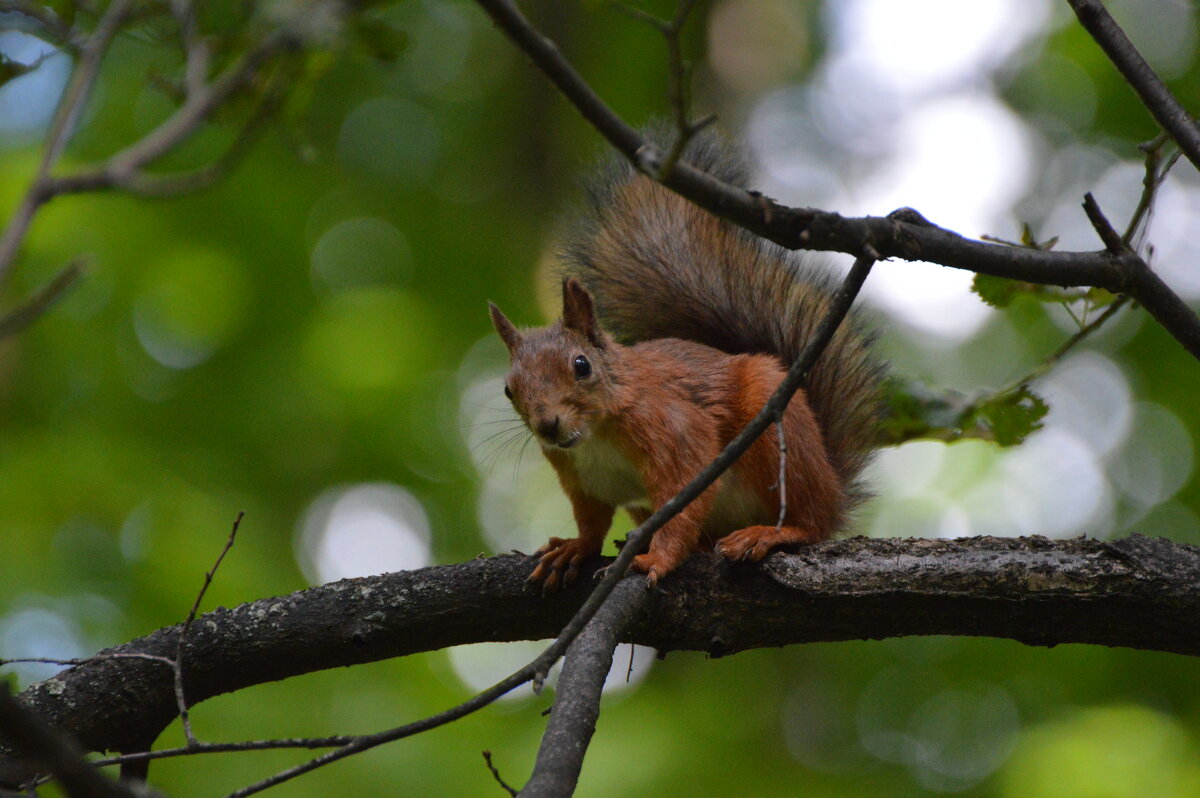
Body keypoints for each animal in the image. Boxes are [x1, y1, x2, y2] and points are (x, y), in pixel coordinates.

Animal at [482, 133, 888, 588]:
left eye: (581, 366)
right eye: (509, 389)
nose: (547, 425)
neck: (597, 435)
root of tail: (834, 487)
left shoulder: (674, 431)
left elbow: (681, 503)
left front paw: (657, 559)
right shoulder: (581, 480)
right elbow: (592, 521)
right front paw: (575, 548)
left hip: (780, 440)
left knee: (813, 520)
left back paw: (770, 533)